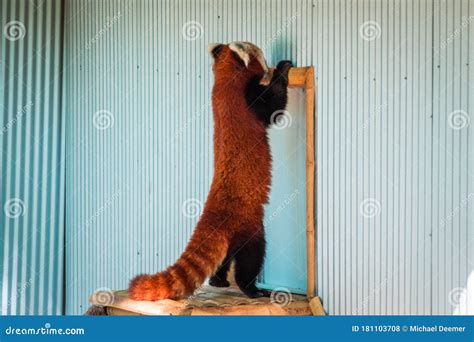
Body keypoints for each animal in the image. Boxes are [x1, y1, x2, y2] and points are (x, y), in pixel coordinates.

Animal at [130, 41, 292, 300]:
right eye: (262, 56)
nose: (269, 61)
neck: (224, 84)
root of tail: (213, 212)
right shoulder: (250, 102)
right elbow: (274, 104)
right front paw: (282, 70)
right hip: (250, 227)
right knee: (251, 258)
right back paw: (252, 289)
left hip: (231, 236)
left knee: (223, 256)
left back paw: (218, 280)